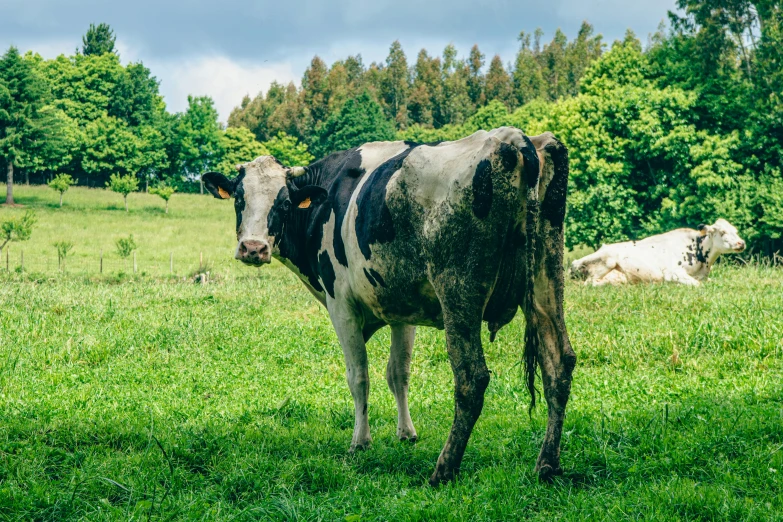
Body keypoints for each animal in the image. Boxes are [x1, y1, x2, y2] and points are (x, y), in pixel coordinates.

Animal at [204, 127, 576, 484]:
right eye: (239, 199)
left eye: (282, 205)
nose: (253, 248)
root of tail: (514, 138)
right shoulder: (402, 309)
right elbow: (398, 373)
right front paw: (406, 434)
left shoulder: (341, 304)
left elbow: (359, 375)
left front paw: (360, 442)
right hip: (546, 279)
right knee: (559, 365)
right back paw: (547, 464)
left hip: (459, 289)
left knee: (472, 377)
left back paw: (444, 469)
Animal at [568, 218, 748, 286]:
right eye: (723, 232)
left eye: (735, 230)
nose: (742, 243)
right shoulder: (672, 272)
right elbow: (698, 285)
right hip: (608, 260)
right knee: (590, 283)